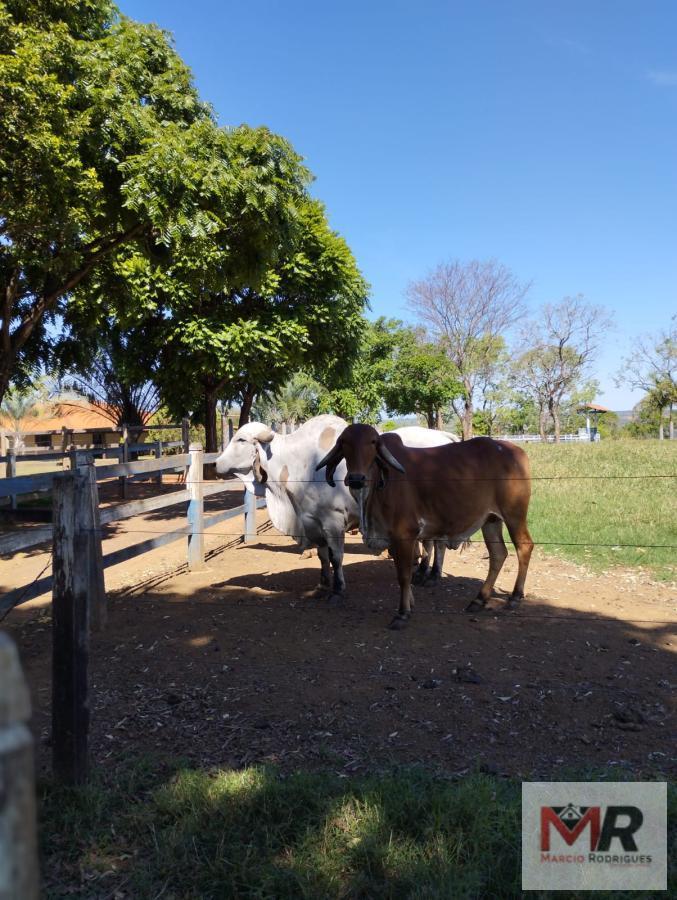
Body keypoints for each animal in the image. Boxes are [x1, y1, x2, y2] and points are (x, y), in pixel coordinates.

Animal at [316, 426, 532, 628]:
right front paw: (410, 604)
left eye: (372, 442)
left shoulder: (405, 534)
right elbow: (402, 571)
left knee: (524, 547)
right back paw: (479, 599)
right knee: (498, 554)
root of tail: (515, 450)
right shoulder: (393, 538)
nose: (356, 479)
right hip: (491, 520)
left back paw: (515, 596)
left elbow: (404, 575)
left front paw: (402, 613)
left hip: (514, 514)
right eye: (344, 442)